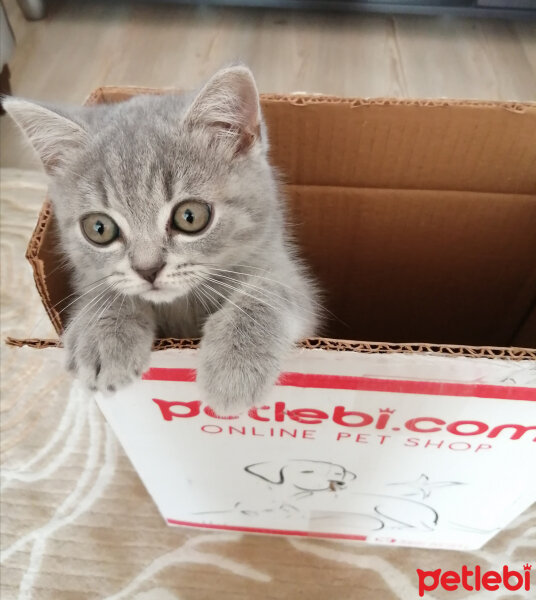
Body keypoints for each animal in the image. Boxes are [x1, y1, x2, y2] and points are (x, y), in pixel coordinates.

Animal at [5, 67, 318, 412]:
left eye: (190, 216)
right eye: (99, 228)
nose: (148, 269)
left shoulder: (285, 271)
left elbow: (270, 291)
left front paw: (234, 366)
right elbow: (106, 287)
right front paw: (101, 335)